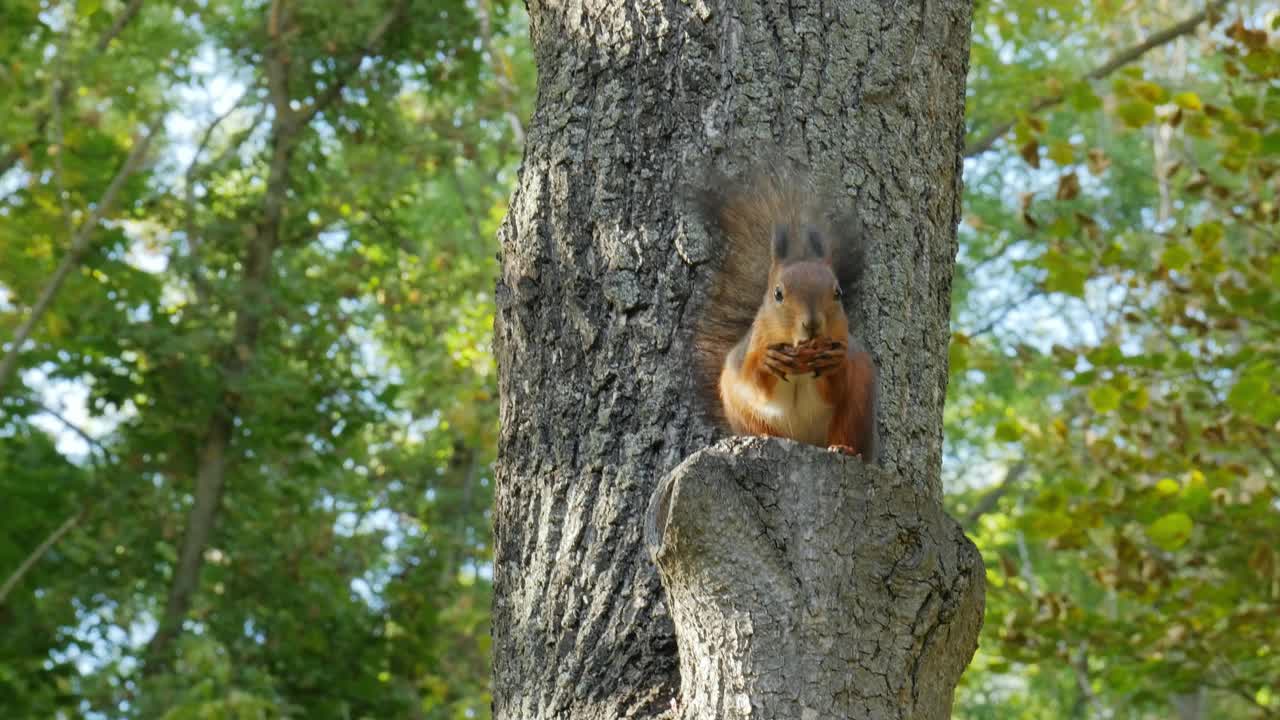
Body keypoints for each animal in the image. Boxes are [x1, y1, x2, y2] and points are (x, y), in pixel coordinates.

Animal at [691, 161, 880, 458]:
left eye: (838, 293)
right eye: (777, 294)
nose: (812, 324)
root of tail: (804, 441)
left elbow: (837, 386)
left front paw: (832, 362)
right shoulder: (751, 348)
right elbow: (754, 383)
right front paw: (767, 362)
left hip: (857, 408)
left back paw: (844, 448)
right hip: (741, 411)